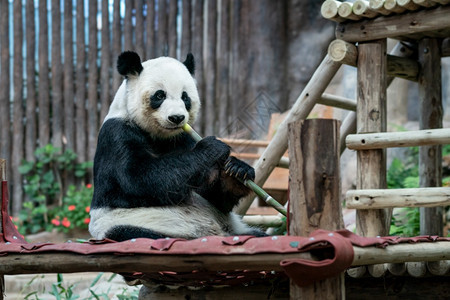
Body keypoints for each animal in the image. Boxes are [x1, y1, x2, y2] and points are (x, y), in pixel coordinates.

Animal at [89, 51, 266, 243]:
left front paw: (236, 170)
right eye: (160, 95)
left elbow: (213, 196)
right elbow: (137, 179)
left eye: (185, 97)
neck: (159, 135)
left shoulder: (182, 137)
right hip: (128, 223)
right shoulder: (117, 134)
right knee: (135, 233)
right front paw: (212, 148)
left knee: (257, 234)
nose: (177, 118)